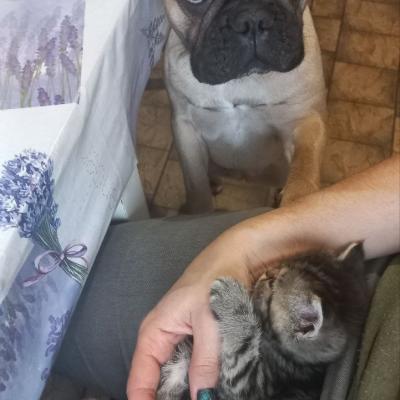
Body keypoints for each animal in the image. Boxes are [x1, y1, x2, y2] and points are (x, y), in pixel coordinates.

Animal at [157, 243, 369, 400]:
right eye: (284, 263)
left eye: (272, 283)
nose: (266, 273)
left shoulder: (246, 387)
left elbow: (240, 355)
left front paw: (232, 299)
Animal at [162, 0, 326, 213]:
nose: (252, 18)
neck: (242, 81)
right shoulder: (186, 128)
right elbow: (196, 186)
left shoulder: (306, 121)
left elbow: (304, 170)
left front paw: (298, 206)